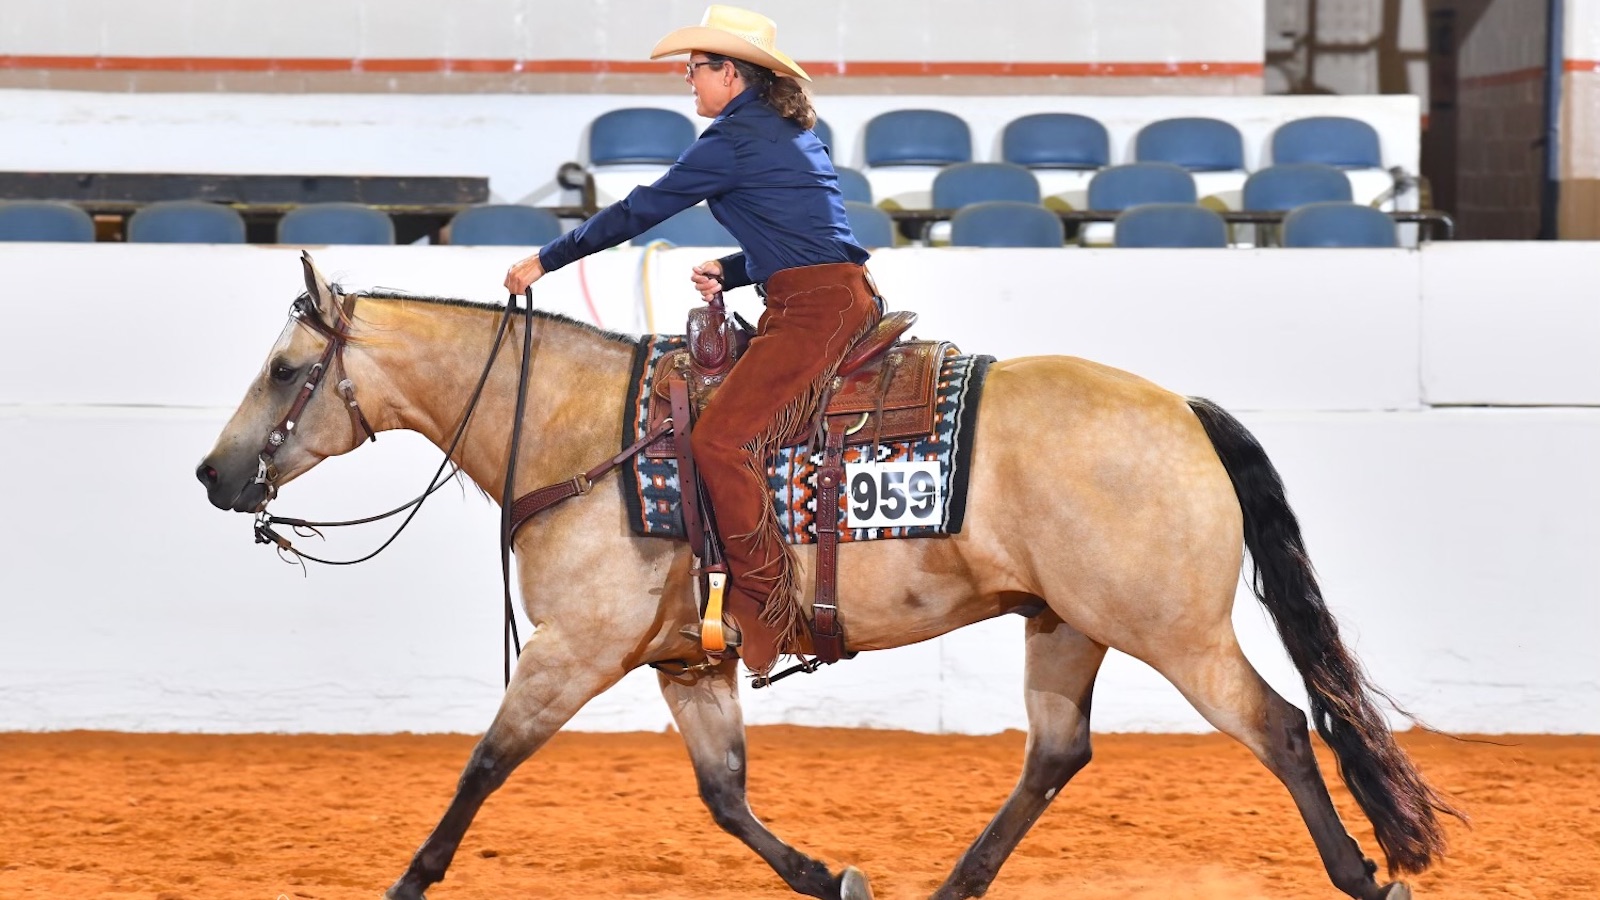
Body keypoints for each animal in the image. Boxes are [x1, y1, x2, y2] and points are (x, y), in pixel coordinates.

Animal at [196, 254, 1462, 899]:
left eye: (286, 369)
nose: (214, 474)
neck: (582, 434)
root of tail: (1184, 411)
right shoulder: (681, 661)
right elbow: (723, 793)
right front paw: (824, 875)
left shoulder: (577, 647)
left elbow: (483, 765)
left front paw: (409, 883)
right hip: (1064, 624)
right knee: (1056, 754)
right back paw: (950, 892)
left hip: (1172, 630)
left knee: (1282, 727)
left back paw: (1364, 876)